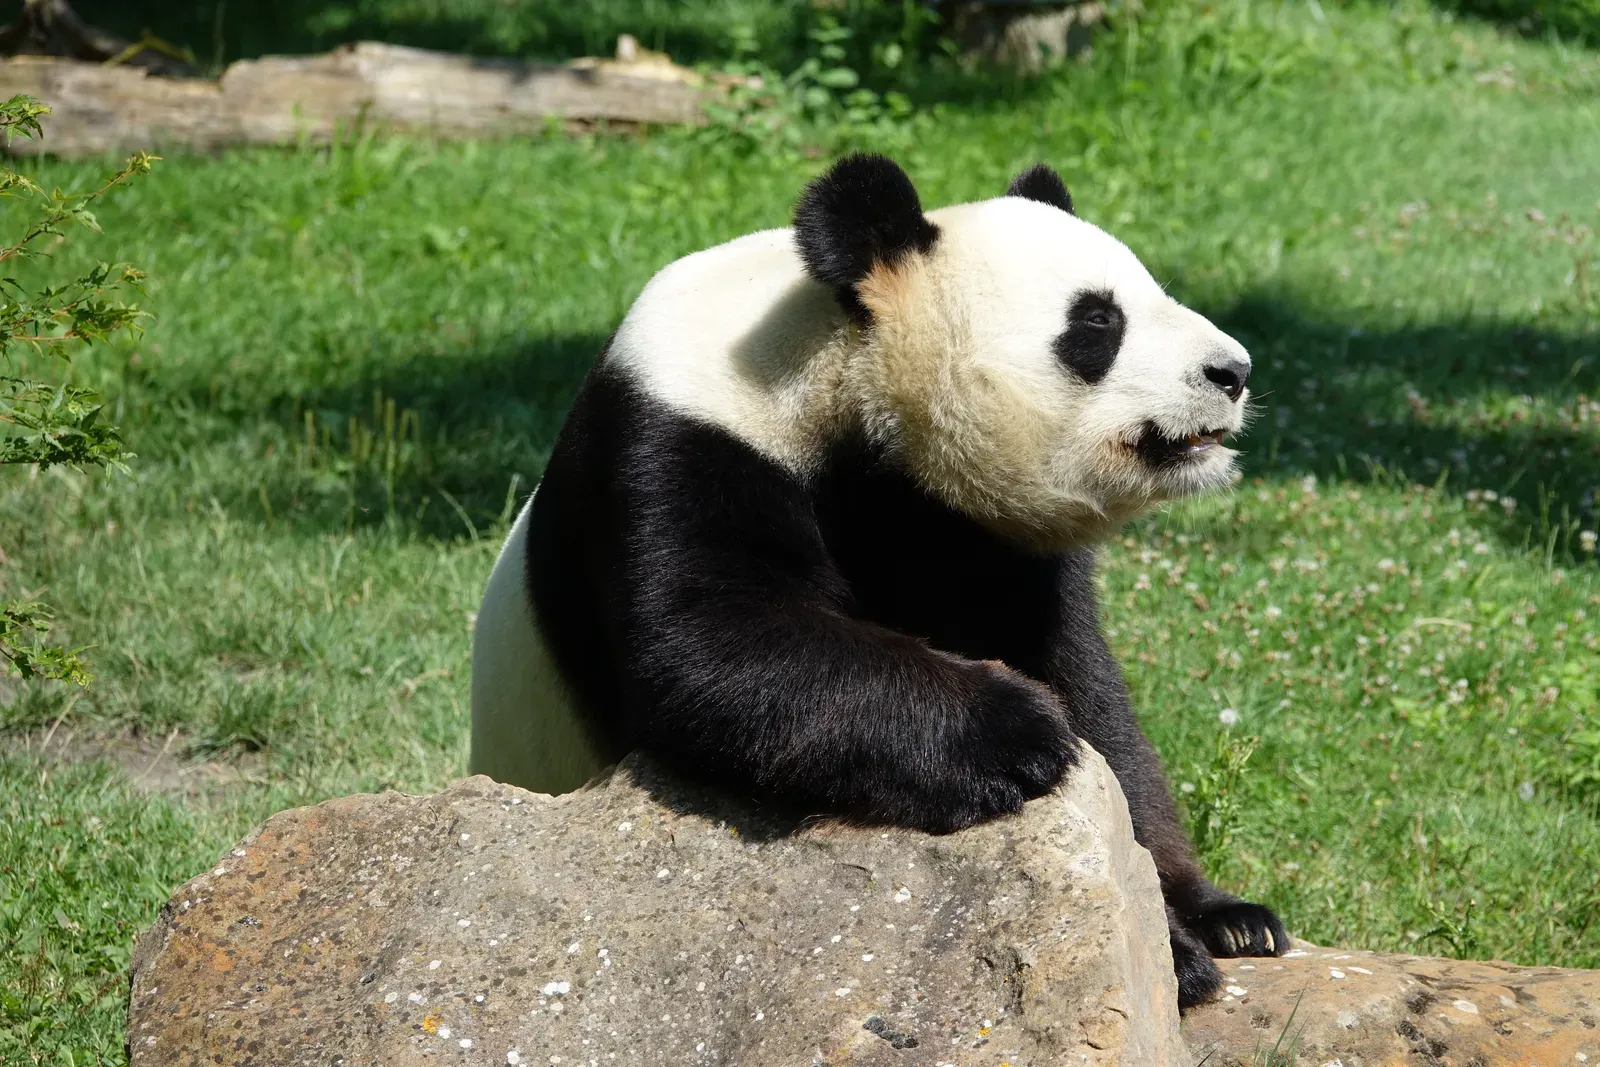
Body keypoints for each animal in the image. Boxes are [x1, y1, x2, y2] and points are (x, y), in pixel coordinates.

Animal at [469, 153, 1286, 1008]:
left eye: (1149, 290)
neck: (833, 365)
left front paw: (1196, 918)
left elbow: (1092, 694)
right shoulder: (674, 438)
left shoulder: (973, 532)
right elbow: (713, 644)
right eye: (1097, 322)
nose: (1232, 371)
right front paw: (1020, 730)